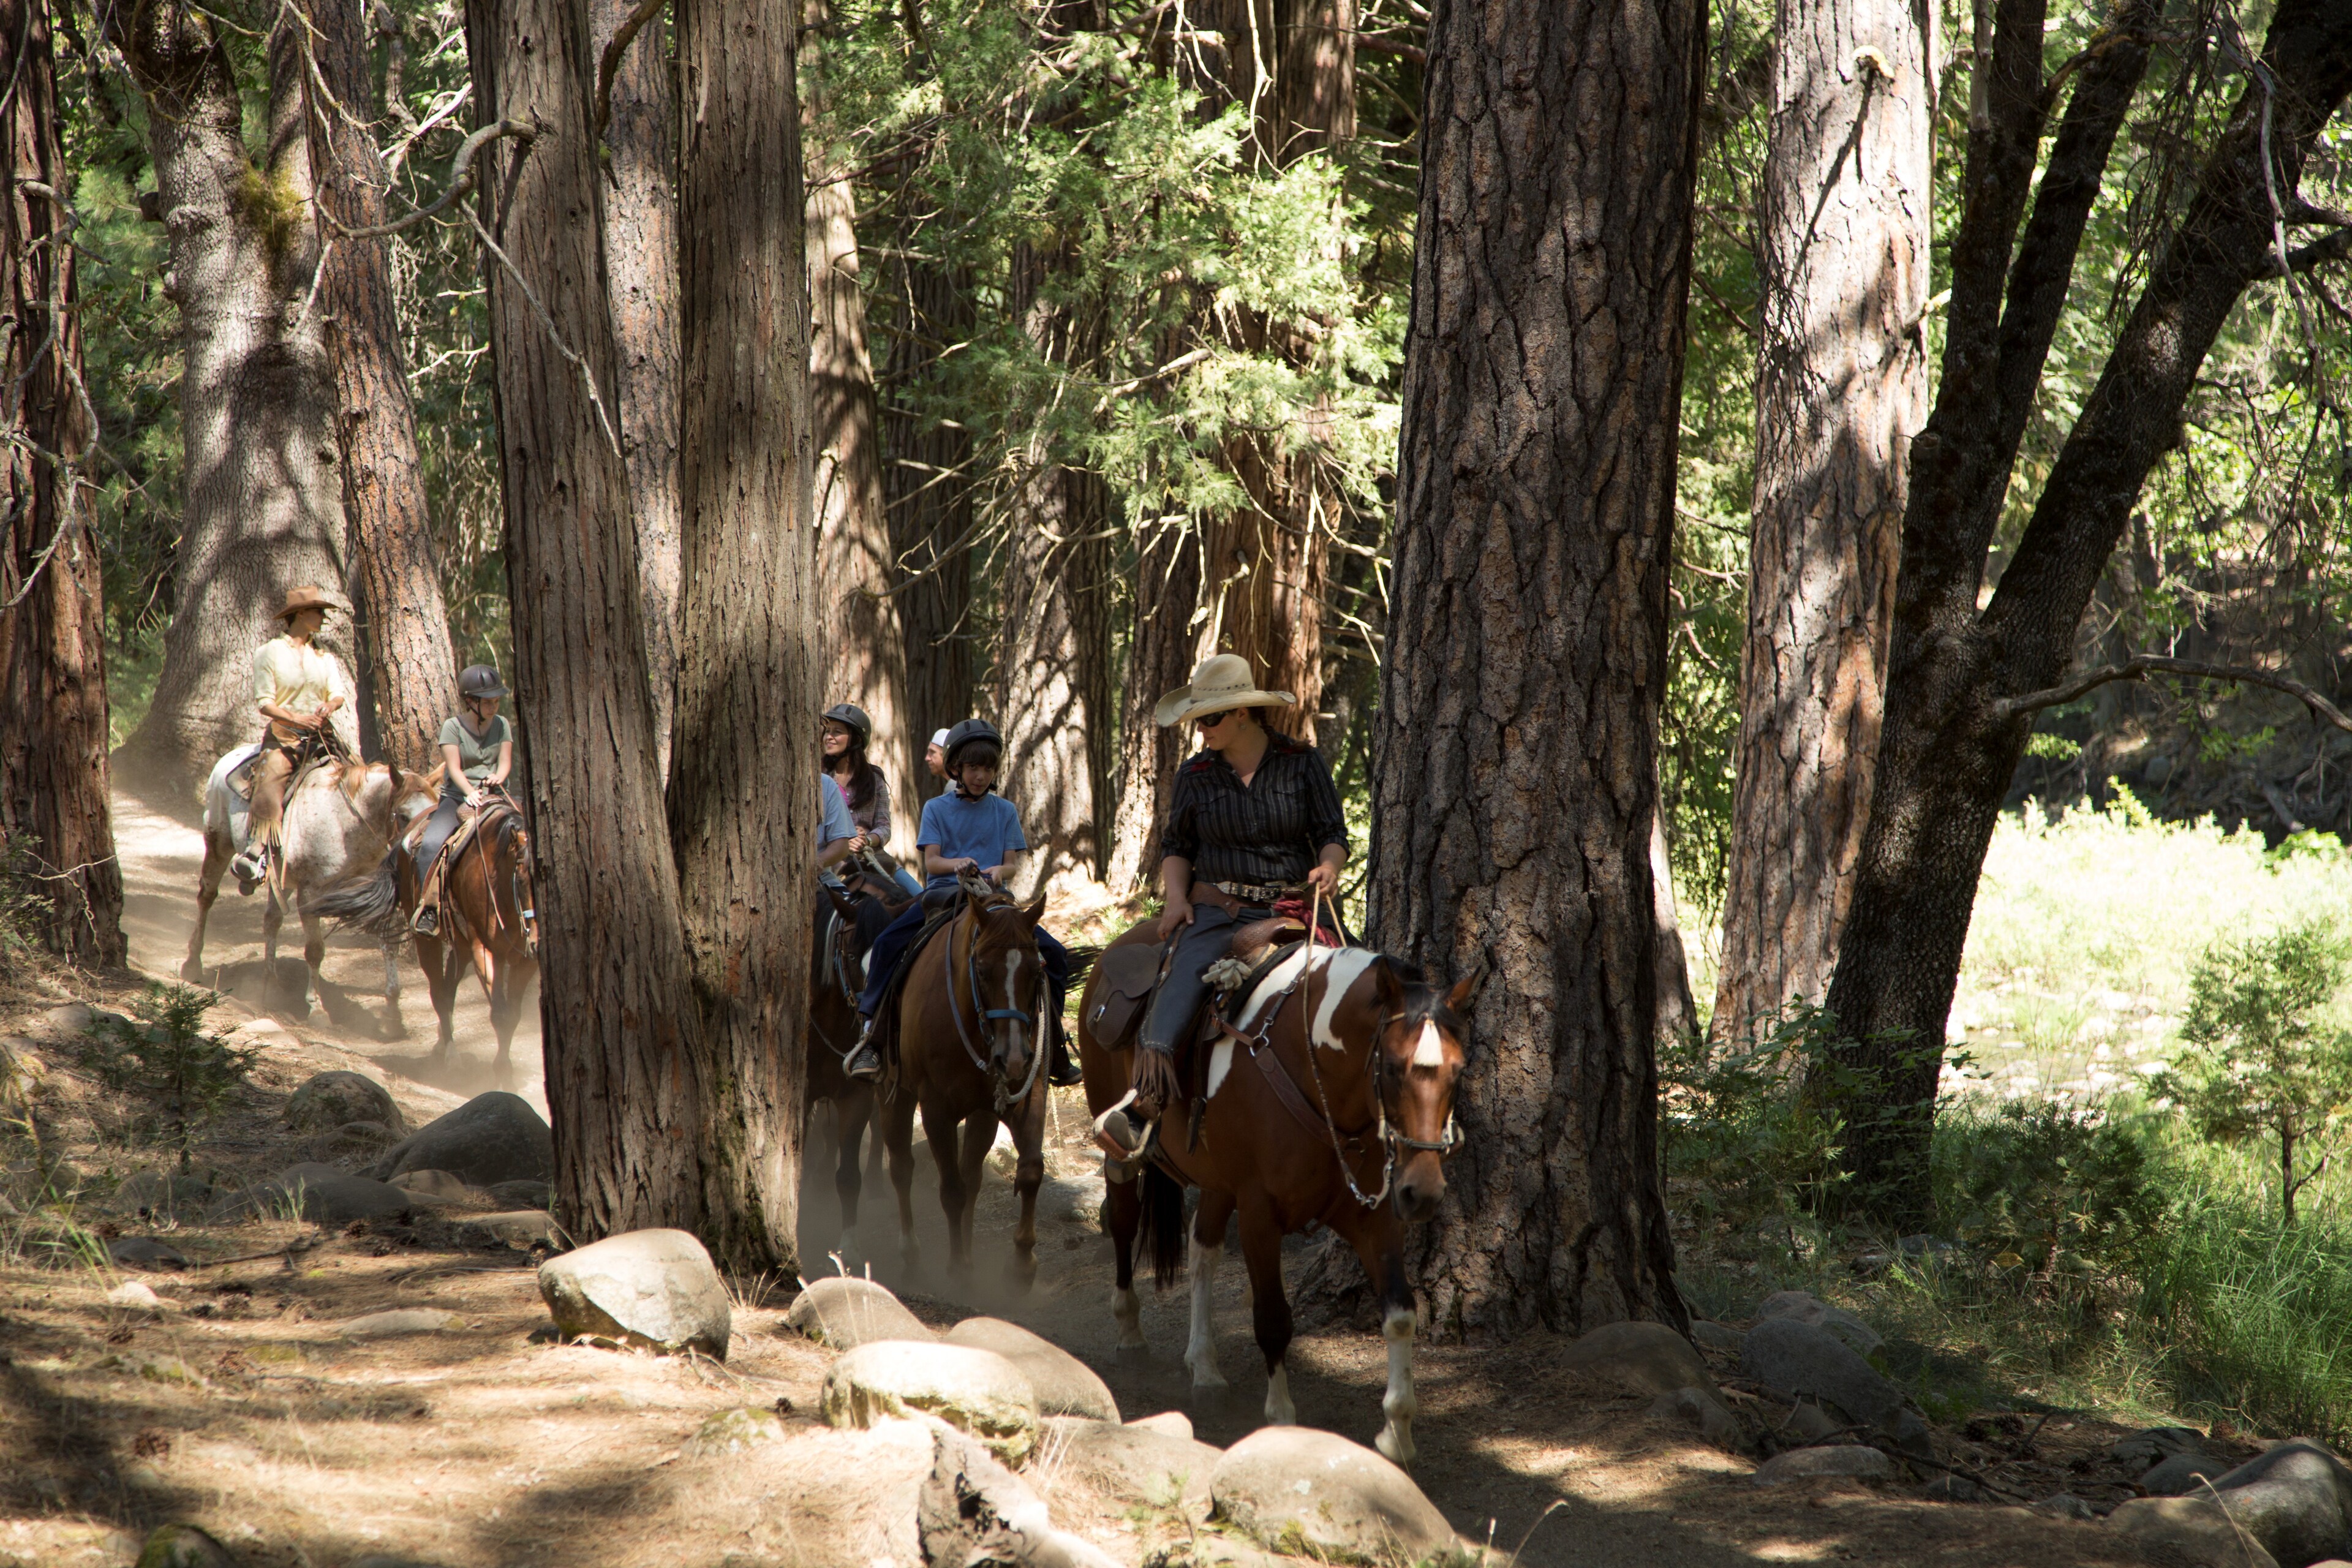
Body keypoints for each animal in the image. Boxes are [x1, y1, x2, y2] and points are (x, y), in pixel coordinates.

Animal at [184, 750, 434, 1011]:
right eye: (404, 816)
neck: (346, 825)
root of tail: (231, 756)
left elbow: (388, 943)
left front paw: (392, 1008)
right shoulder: (310, 893)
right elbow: (315, 950)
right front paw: (316, 1007)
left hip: (280, 877)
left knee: (272, 921)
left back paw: (271, 986)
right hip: (218, 844)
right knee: (207, 897)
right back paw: (193, 963)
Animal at [311, 795, 540, 1089]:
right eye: (521, 880)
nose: (537, 942)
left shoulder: (525, 961)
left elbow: (512, 1016)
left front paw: (507, 1077)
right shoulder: (483, 950)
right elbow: (500, 1016)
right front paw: (502, 1077)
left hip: (461, 945)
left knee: (449, 988)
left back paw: (442, 1046)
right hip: (428, 941)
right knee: (439, 994)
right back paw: (451, 1058)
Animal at [879, 873, 1055, 1283]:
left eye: (1036, 971)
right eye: (982, 970)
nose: (1015, 1058)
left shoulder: (1027, 1096)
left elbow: (1030, 1172)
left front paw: (1021, 1265)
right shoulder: (935, 1110)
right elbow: (951, 1190)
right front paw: (957, 1268)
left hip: (983, 1113)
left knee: (973, 1176)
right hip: (894, 1093)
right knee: (901, 1167)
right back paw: (911, 1252)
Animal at [1075, 921, 1473, 1467]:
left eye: (1458, 1070)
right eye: (1391, 1067)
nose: (1425, 1192)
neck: (1316, 1073)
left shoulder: (1373, 1220)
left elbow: (1400, 1315)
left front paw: (1397, 1433)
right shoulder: (1260, 1214)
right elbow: (1273, 1320)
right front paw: (1283, 1423)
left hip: (1218, 1182)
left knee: (1203, 1248)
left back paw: (1205, 1367)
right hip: (1121, 1146)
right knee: (1123, 1220)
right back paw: (1130, 1331)